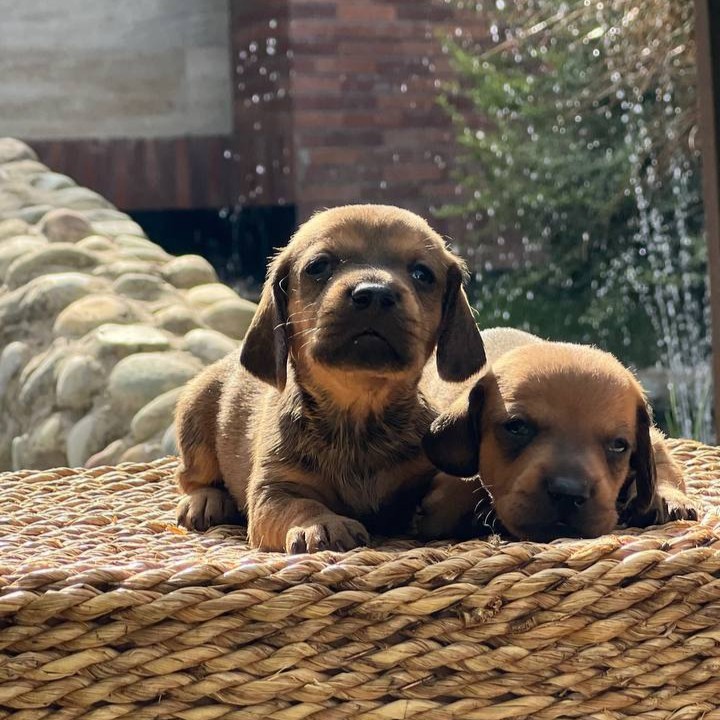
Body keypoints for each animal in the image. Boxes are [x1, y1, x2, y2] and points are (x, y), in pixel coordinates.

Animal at [174, 204, 486, 552]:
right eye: (319, 266)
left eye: (422, 274)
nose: (374, 293)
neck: (358, 417)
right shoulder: (275, 491)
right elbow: (302, 505)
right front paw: (322, 524)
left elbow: (464, 484)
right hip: (196, 416)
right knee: (191, 478)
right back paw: (205, 500)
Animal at [416, 327, 698, 542]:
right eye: (517, 427)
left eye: (619, 445)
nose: (568, 494)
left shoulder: (655, 442)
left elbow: (663, 469)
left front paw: (666, 498)